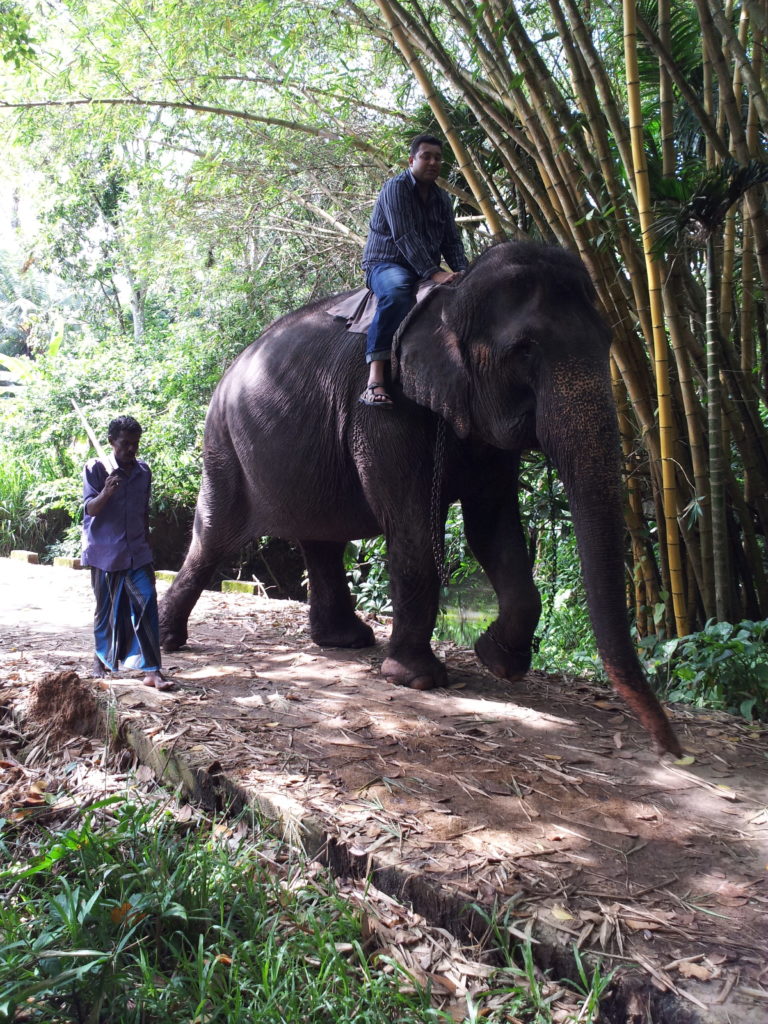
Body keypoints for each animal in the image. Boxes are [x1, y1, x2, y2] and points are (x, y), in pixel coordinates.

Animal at [159, 237, 684, 753]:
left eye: (609, 343)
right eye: (525, 349)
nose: (672, 749)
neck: (454, 297)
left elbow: (492, 527)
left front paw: (498, 661)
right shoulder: (383, 409)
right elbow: (413, 527)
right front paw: (417, 679)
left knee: (320, 539)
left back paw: (345, 641)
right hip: (223, 445)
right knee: (214, 536)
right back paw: (169, 641)